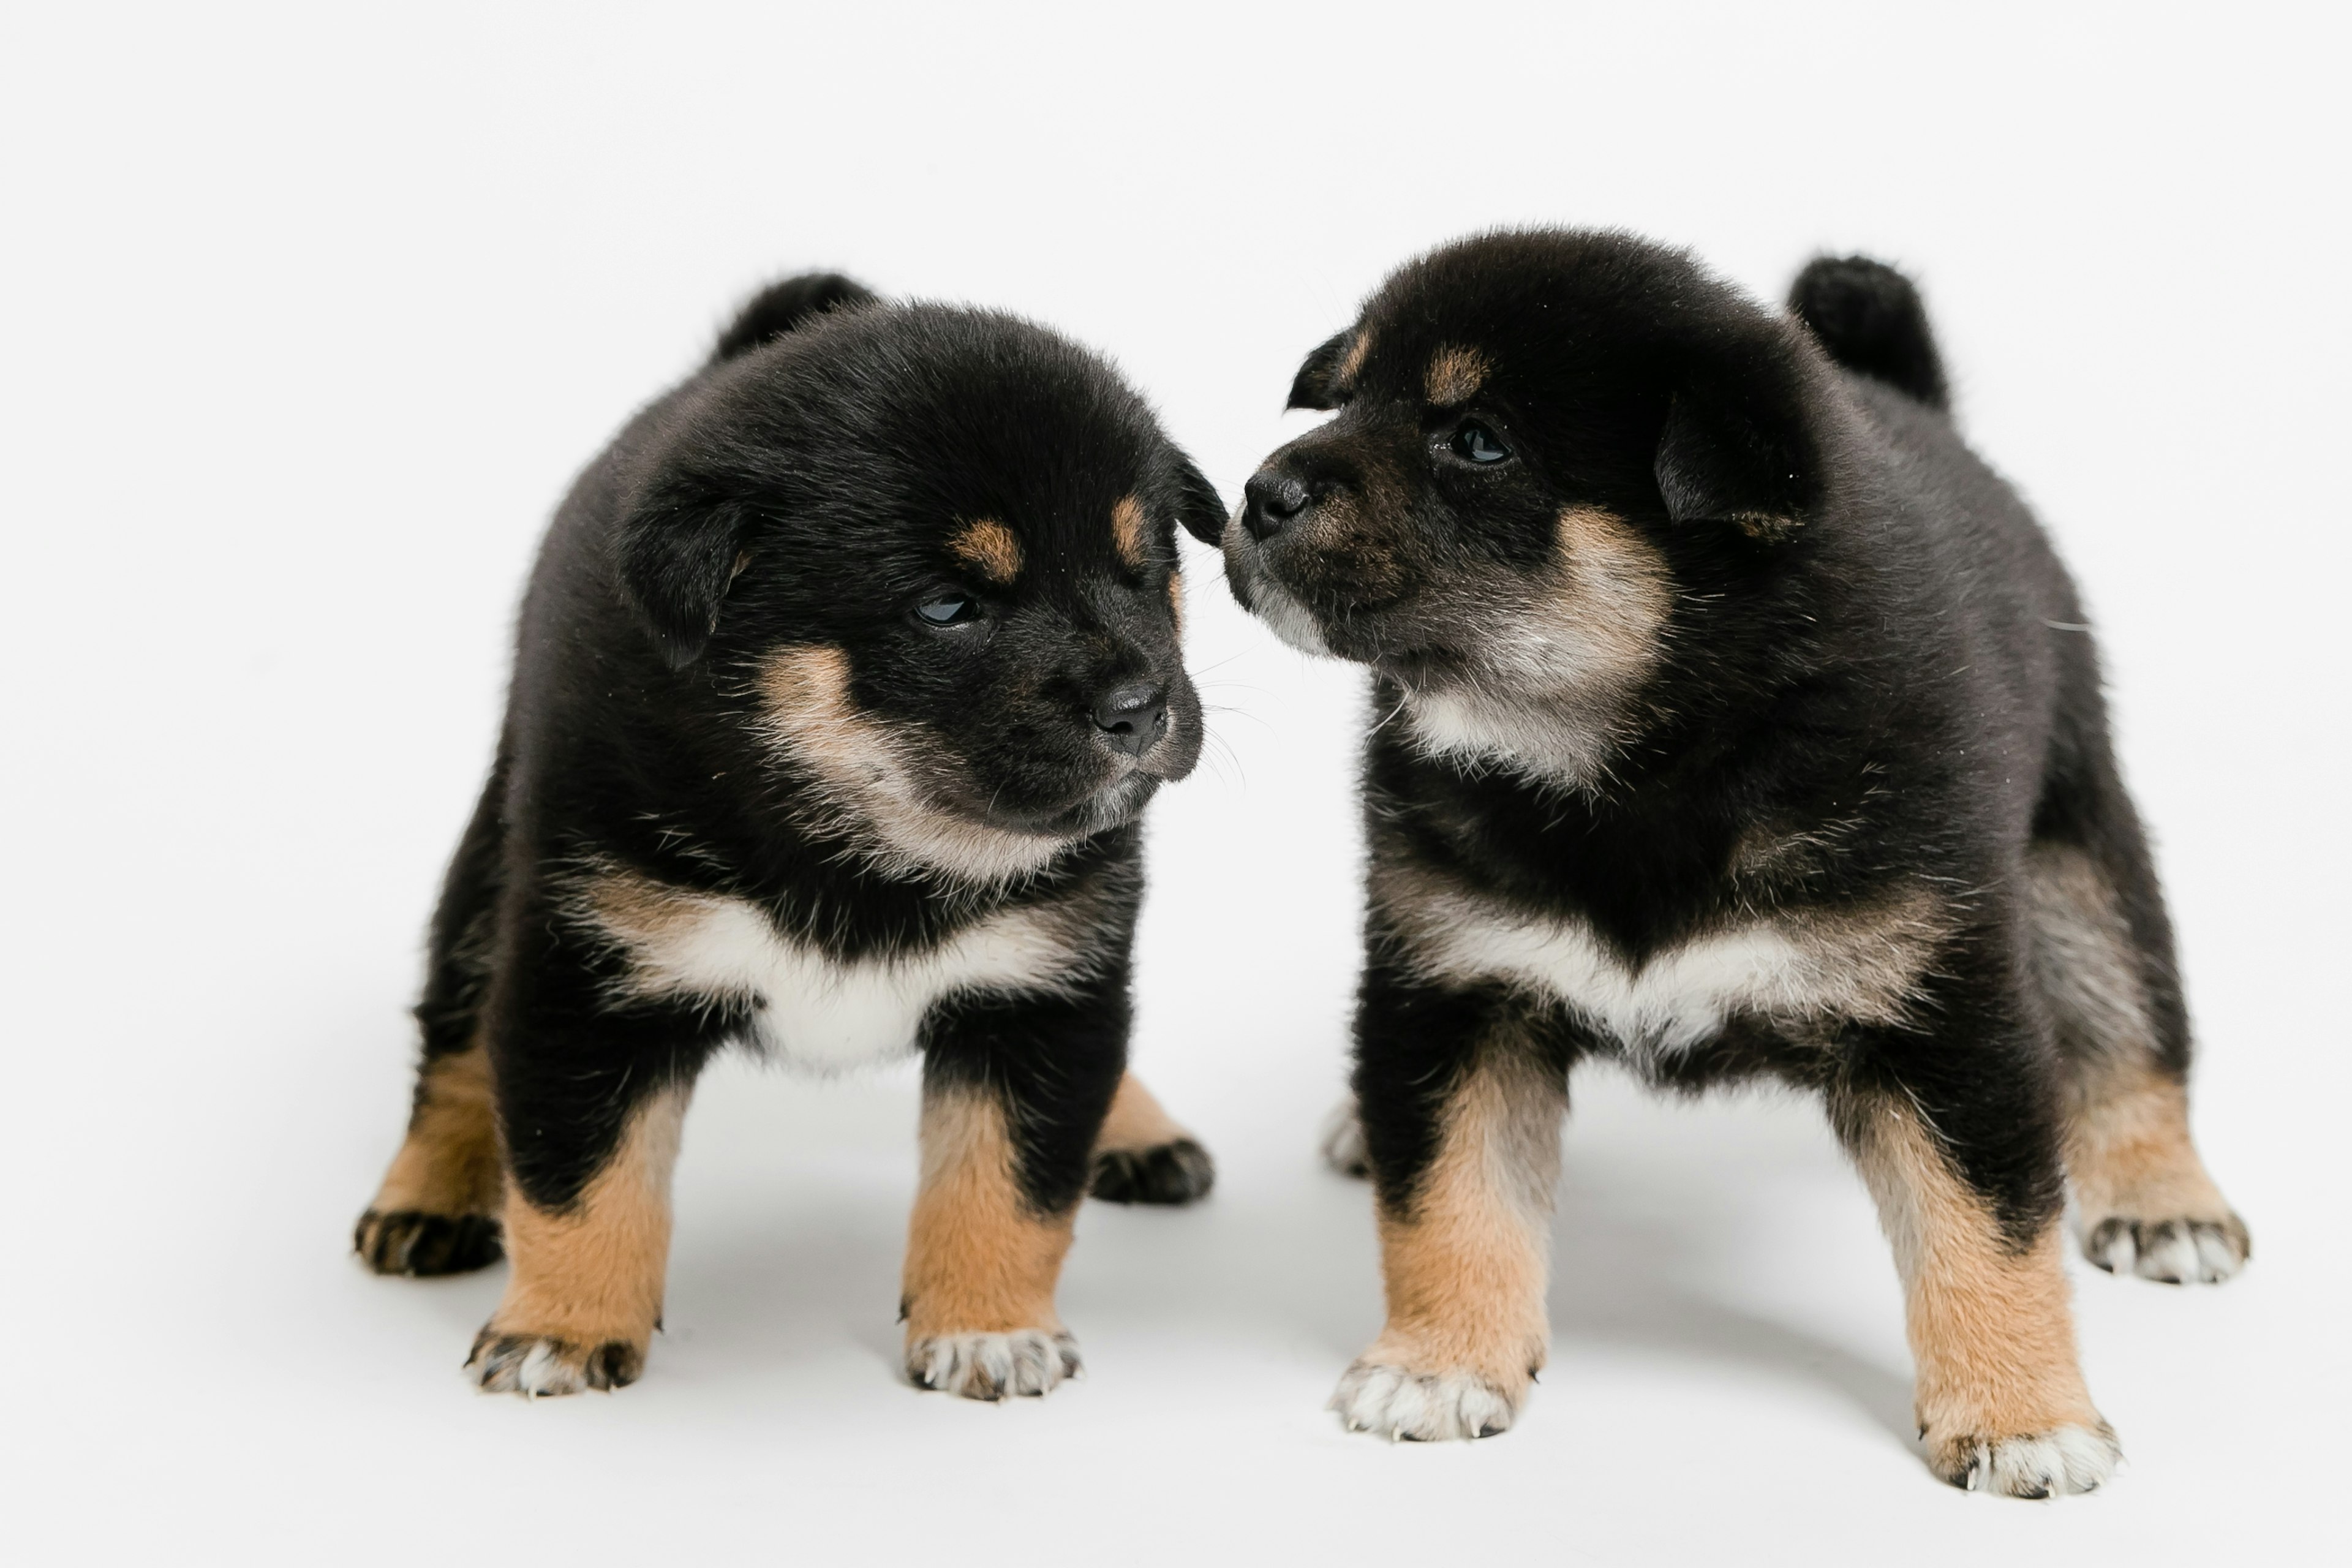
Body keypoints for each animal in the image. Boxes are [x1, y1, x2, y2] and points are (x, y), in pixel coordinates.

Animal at [362, 276, 1232, 1401]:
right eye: (947, 607)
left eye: (1141, 572)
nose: (1139, 709)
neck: (863, 842)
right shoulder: (585, 979)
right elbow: (580, 1180)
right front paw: (560, 1326)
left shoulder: (1043, 987)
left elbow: (1009, 1182)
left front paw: (988, 1325)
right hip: (491, 865)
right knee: (456, 1035)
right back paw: (424, 1196)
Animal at [1223, 230, 2248, 1495]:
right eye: (1348, 395)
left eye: (1478, 441)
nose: (1256, 494)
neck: (1643, 765)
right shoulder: (1456, 986)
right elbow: (1453, 1198)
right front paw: (1441, 1361)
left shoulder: (1946, 1010)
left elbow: (1987, 1229)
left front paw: (2020, 1414)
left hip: (2079, 855)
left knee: (2131, 1030)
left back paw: (2164, 1200)